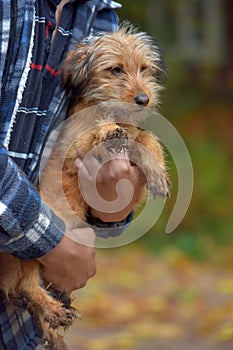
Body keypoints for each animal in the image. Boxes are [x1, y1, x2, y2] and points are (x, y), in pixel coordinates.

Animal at [0, 23, 171, 348]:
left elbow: (146, 138)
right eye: (115, 70)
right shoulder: (74, 145)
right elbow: (98, 131)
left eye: (144, 69)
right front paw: (108, 130)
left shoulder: (133, 138)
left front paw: (157, 172)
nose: (144, 99)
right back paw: (53, 309)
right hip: (28, 256)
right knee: (25, 287)